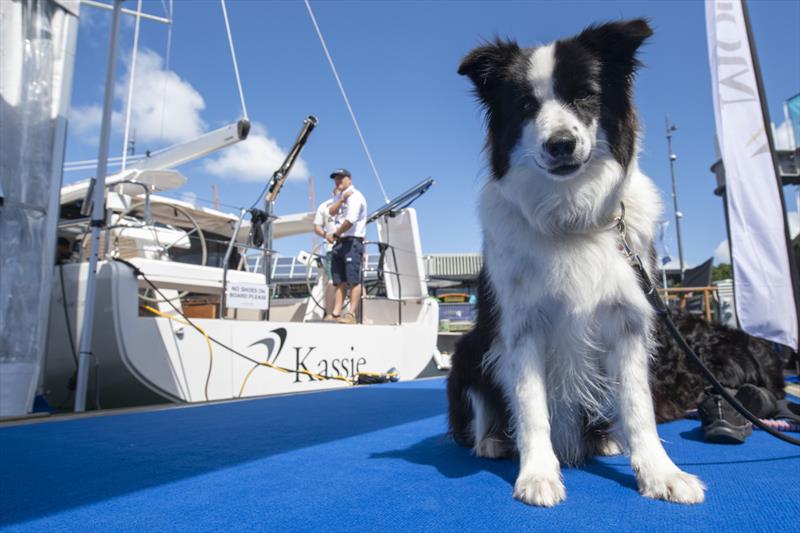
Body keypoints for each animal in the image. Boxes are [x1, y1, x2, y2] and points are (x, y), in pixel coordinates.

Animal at [450, 18, 708, 504]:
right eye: (526, 105)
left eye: (586, 95)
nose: (561, 144)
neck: (570, 213)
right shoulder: (520, 327)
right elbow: (531, 407)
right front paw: (537, 474)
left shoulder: (628, 320)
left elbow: (639, 408)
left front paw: (660, 472)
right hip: (467, 349)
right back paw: (492, 441)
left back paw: (604, 439)